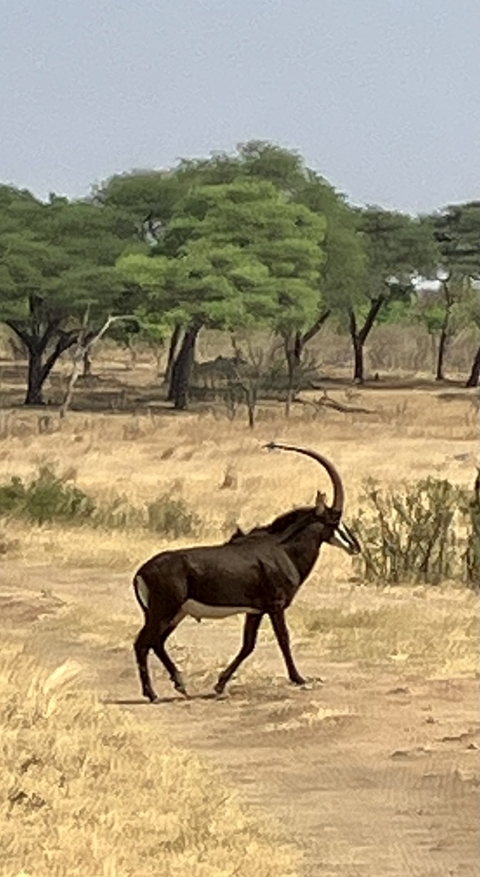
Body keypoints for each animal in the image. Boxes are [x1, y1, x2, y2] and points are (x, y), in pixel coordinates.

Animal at [133, 442, 360, 702]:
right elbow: (283, 639)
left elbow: (248, 645)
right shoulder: (275, 605)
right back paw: (156, 692)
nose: (355, 546)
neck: (282, 549)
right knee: (145, 642)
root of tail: (142, 571)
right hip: (164, 610)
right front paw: (298, 678)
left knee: (154, 642)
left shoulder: (256, 610)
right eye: (335, 519)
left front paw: (220, 684)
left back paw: (173, 686)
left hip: (175, 612)